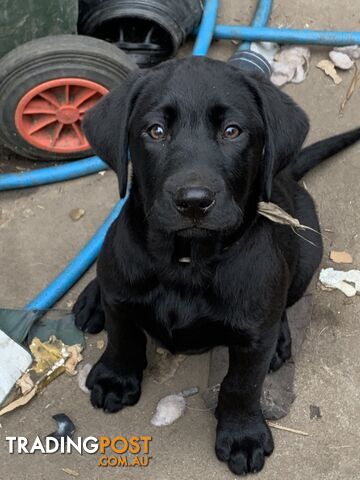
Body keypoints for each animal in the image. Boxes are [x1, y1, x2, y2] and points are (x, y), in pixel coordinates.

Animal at [73, 57, 360, 476]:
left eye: (232, 131)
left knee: (285, 300)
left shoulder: (252, 339)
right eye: (156, 131)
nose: (193, 201)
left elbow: (241, 385)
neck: (186, 260)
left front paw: (242, 435)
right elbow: (123, 337)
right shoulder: (122, 299)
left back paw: (281, 339)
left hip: (310, 251)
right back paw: (91, 298)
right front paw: (115, 378)